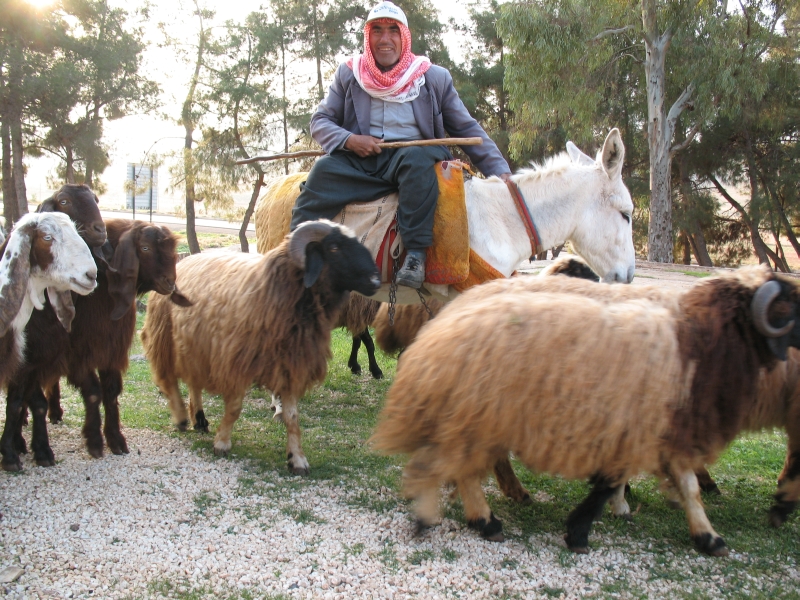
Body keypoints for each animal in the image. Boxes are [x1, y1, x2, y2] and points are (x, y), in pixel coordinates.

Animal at [141, 220, 382, 474]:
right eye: (334, 248)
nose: (376, 281)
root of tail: (187, 259)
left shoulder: (291, 366)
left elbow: (292, 417)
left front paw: (297, 459)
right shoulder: (236, 362)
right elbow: (234, 408)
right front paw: (222, 443)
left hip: (195, 345)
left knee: (193, 382)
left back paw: (199, 419)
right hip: (165, 337)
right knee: (169, 380)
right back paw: (181, 418)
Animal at [372, 268, 800, 556]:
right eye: (790, 309)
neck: (695, 342)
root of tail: (439, 330)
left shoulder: (655, 428)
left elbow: (681, 483)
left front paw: (706, 535)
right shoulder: (641, 427)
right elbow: (617, 482)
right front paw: (581, 529)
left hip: (476, 417)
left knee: (460, 467)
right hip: (479, 416)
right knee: (462, 469)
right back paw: (484, 520)